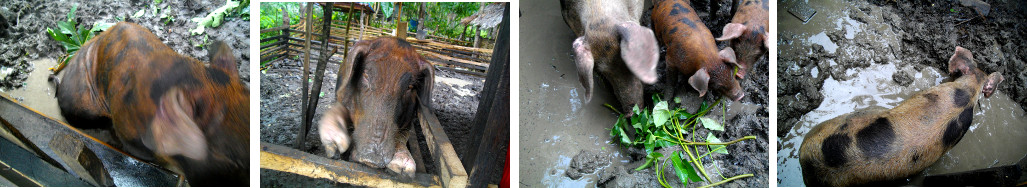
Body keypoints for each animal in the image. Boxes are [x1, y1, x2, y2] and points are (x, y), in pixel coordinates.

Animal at [318, 36, 435, 177]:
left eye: (410, 86)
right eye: (365, 75)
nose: (372, 160)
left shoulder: (409, 121)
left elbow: (403, 135)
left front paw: (403, 169)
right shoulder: (341, 94)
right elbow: (337, 110)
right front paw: (337, 143)